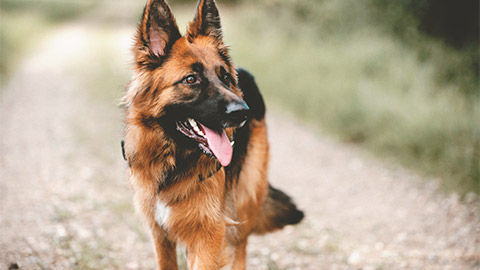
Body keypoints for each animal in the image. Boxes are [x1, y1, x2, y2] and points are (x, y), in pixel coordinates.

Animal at [124, 0, 304, 268]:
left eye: (225, 77)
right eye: (191, 79)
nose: (242, 112)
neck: (175, 163)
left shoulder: (209, 235)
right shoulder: (160, 233)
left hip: (245, 198)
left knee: (241, 246)